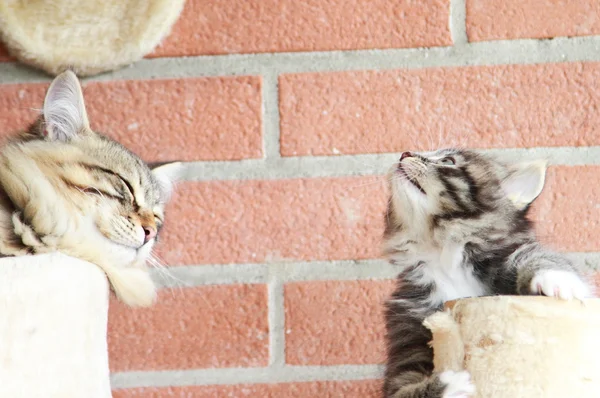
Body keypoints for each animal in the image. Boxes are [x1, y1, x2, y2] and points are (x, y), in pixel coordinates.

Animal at [382, 148, 592, 398]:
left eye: (448, 160)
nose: (405, 154)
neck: (442, 253)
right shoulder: (407, 339)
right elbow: (402, 389)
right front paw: (448, 385)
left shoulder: (501, 260)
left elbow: (533, 255)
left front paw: (557, 278)